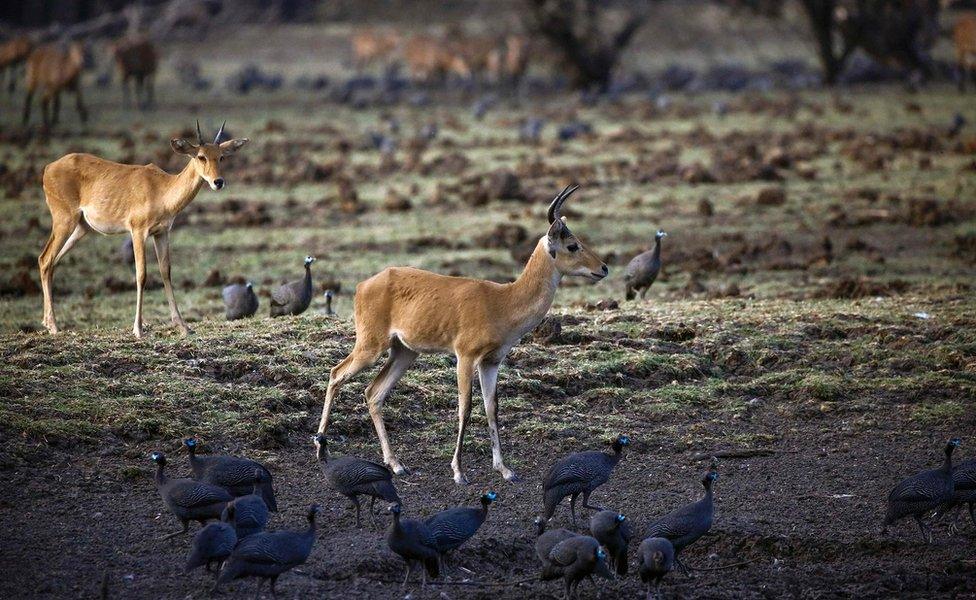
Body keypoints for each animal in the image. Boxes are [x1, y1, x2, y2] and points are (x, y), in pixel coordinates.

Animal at [38, 122, 248, 337]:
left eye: (221, 156)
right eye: (201, 156)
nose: (218, 182)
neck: (162, 190)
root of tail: (48, 168)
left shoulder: (161, 233)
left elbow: (166, 271)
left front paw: (183, 326)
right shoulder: (138, 232)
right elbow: (141, 274)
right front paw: (138, 328)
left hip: (82, 228)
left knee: (51, 262)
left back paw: (47, 323)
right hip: (64, 221)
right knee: (45, 258)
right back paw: (53, 326)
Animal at [316, 185, 608, 485]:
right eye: (572, 245)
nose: (603, 268)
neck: (503, 301)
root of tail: (364, 284)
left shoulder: (491, 362)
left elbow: (492, 408)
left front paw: (504, 469)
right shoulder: (465, 357)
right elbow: (464, 408)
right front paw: (458, 471)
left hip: (404, 352)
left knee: (373, 393)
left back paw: (396, 465)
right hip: (371, 346)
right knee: (336, 373)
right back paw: (322, 451)